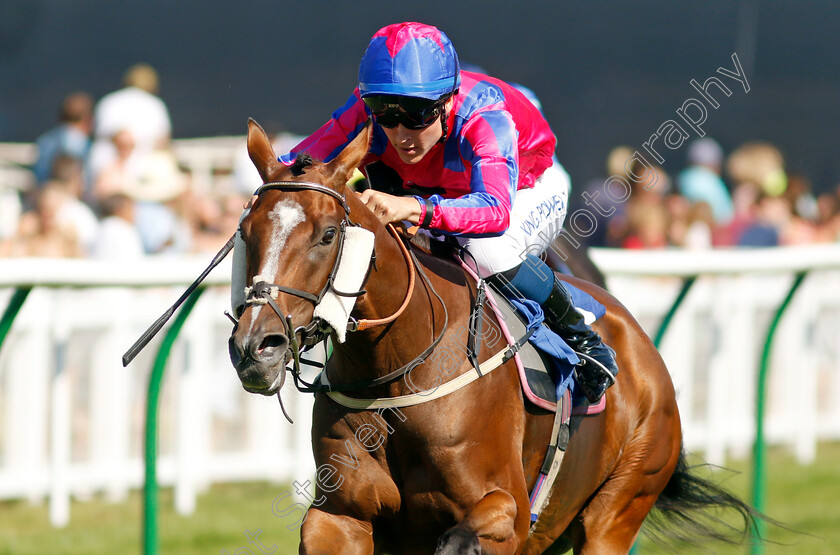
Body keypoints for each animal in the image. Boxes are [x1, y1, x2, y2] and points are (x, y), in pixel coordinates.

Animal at [228, 119, 756, 552]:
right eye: (245, 231)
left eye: (327, 234)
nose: (255, 348)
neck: (398, 375)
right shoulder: (341, 515)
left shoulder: (510, 513)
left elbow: (462, 537)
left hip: (621, 504)